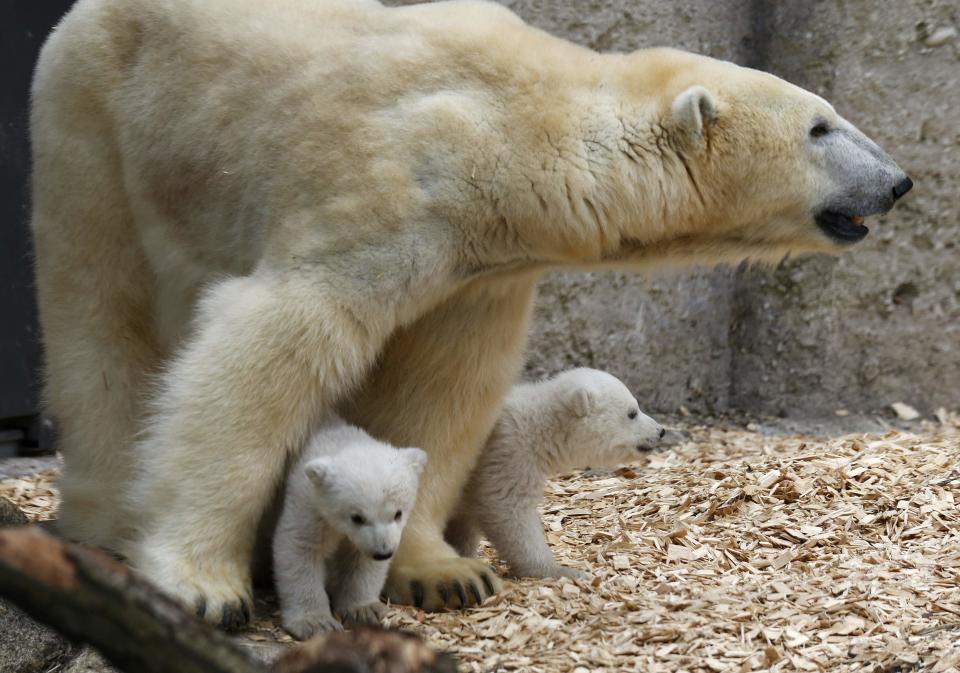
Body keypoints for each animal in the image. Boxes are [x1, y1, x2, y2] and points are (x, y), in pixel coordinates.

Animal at [272, 422, 426, 636]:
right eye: (357, 517)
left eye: (398, 513)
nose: (383, 553)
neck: (336, 439)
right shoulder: (309, 504)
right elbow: (299, 547)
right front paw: (316, 623)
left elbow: (361, 560)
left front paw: (364, 610)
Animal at [448, 368, 660, 576]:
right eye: (632, 413)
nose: (661, 431)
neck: (537, 424)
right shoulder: (507, 453)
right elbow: (508, 508)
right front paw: (557, 570)